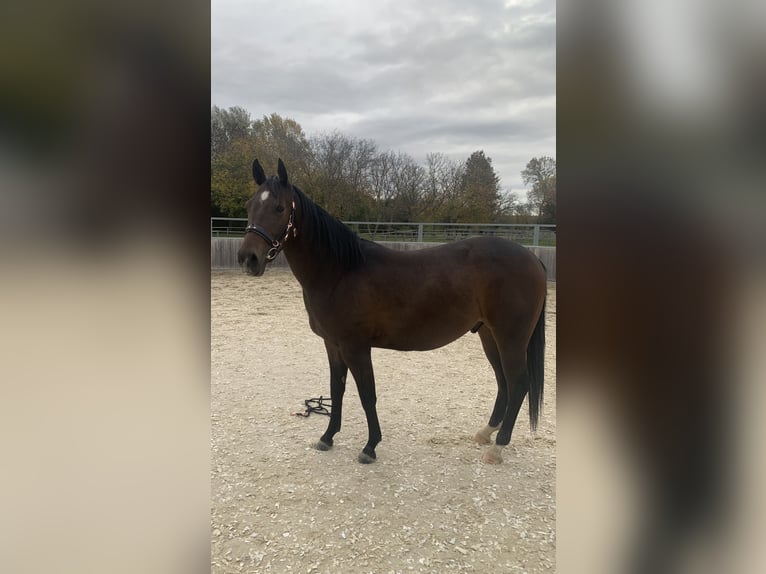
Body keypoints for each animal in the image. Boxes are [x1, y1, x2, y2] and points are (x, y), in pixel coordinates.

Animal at [237, 159, 547, 464]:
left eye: (279, 207)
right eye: (250, 204)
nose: (248, 259)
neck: (340, 271)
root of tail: (532, 258)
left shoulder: (356, 347)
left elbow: (367, 395)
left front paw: (370, 446)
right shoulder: (333, 345)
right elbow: (337, 390)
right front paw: (327, 437)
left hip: (510, 338)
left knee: (519, 383)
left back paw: (498, 447)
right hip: (489, 335)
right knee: (503, 382)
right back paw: (486, 433)